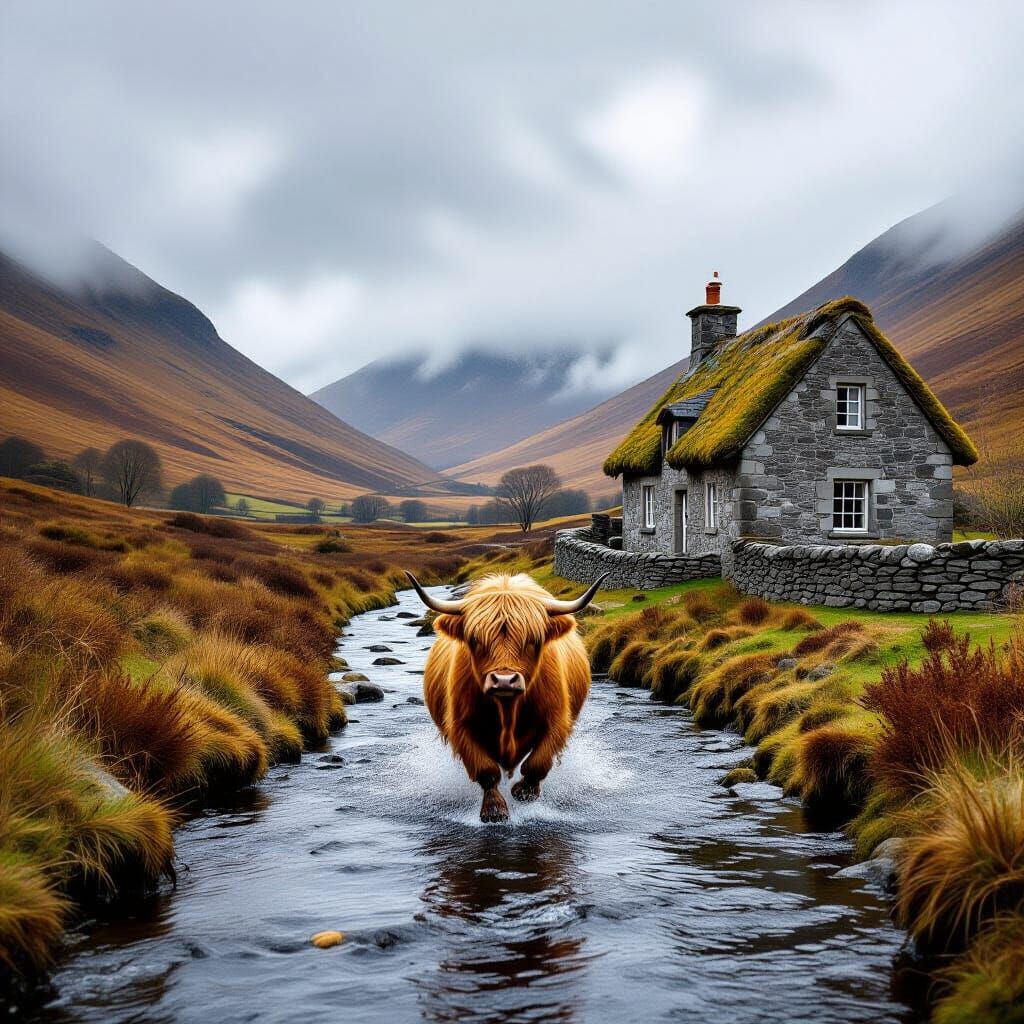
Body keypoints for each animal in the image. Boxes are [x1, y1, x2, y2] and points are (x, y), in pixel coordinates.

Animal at [406, 571, 606, 823]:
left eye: (533, 640)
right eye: (475, 640)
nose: (503, 680)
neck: (508, 710)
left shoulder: (557, 721)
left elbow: (538, 762)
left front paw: (524, 792)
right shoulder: (461, 726)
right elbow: (485, 770)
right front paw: (494, 810)